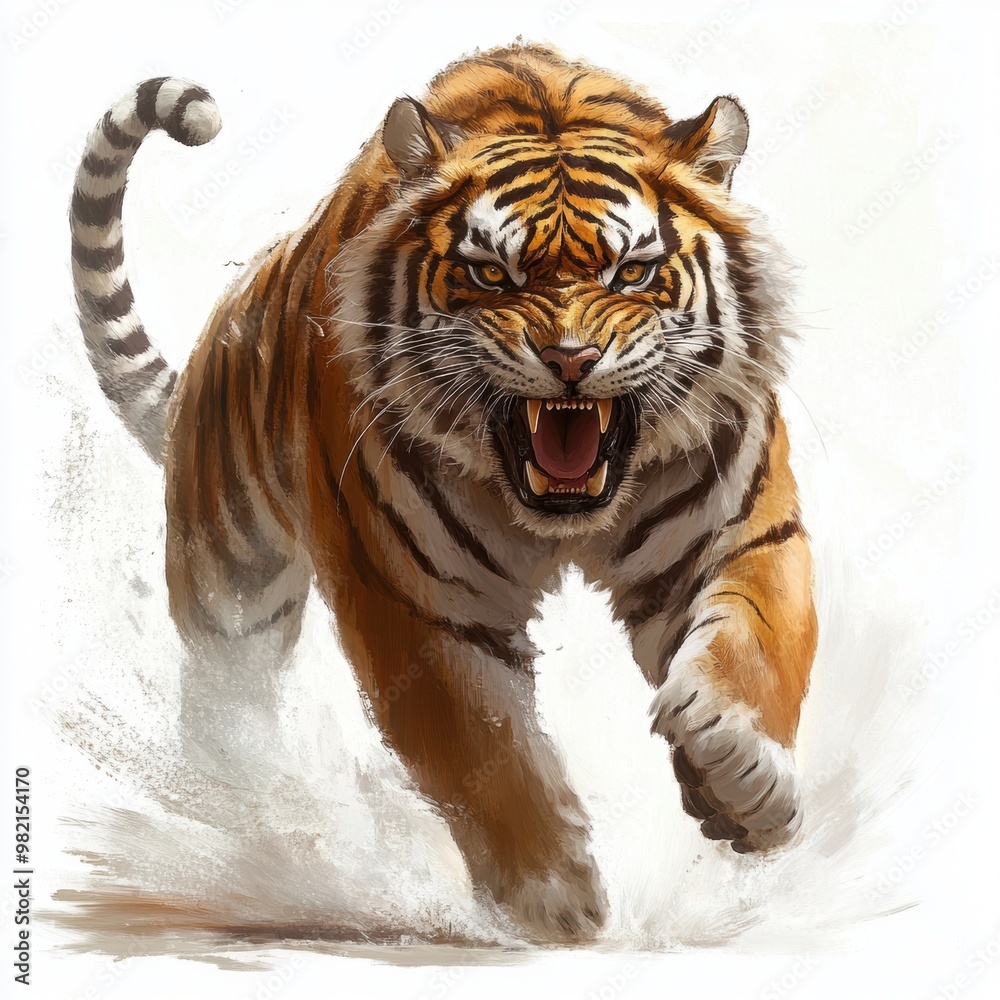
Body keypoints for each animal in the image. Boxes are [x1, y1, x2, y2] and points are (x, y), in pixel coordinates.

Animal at [69, 42, 817, 943]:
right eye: (491, 273)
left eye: (633, 272)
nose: (570, 359)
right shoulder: (416, 601)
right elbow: (481, 748)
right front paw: (554, 899)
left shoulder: (738, 530)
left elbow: (758, 642)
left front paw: (742, 780)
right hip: (229, 586)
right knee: (225, 702)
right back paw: (244, 818)